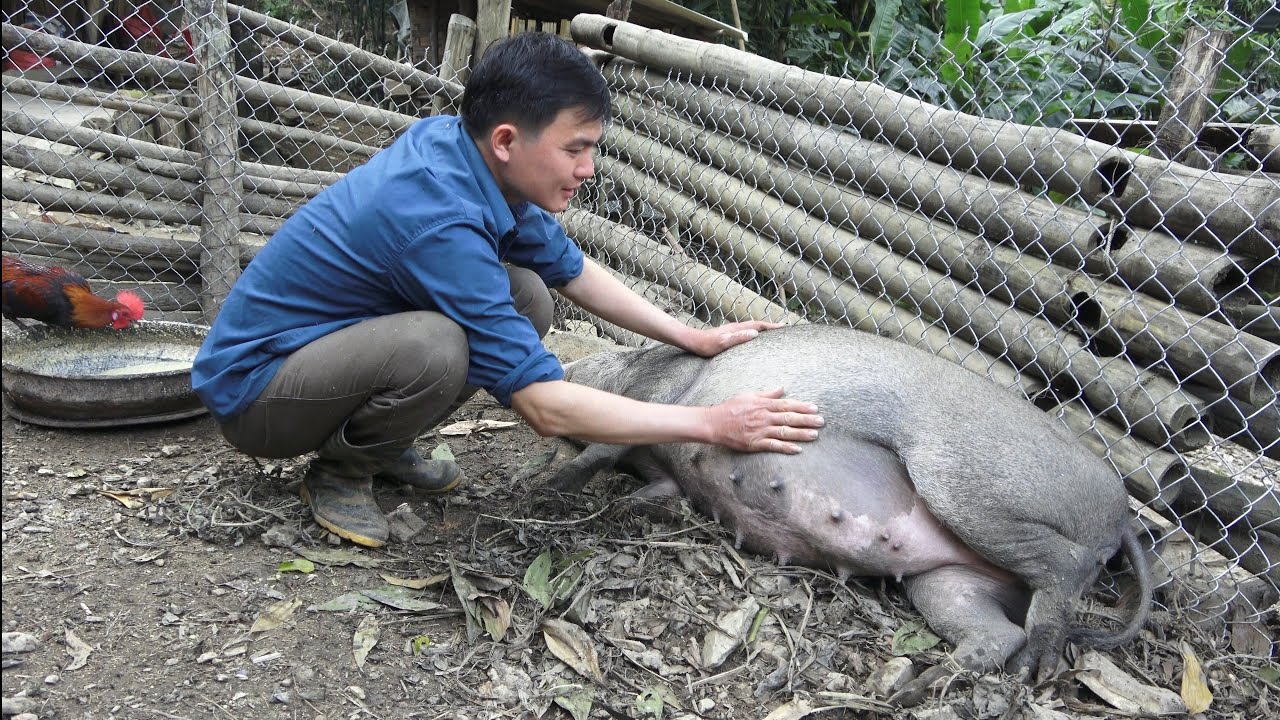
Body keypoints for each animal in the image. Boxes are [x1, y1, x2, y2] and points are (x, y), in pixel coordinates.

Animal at [549, 323, 1151, 687]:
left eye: (610, 353)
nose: (562, 364)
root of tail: (1122, 514)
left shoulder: (652, 400)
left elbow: (602, 449)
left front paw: (547, 487)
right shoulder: (662, 469)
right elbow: (658, 489)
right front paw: (629, 504)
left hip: (967, 484)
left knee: (1064, 567)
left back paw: (1034, 671)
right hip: (949, 581)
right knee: (996, 628)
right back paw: (921, 686)